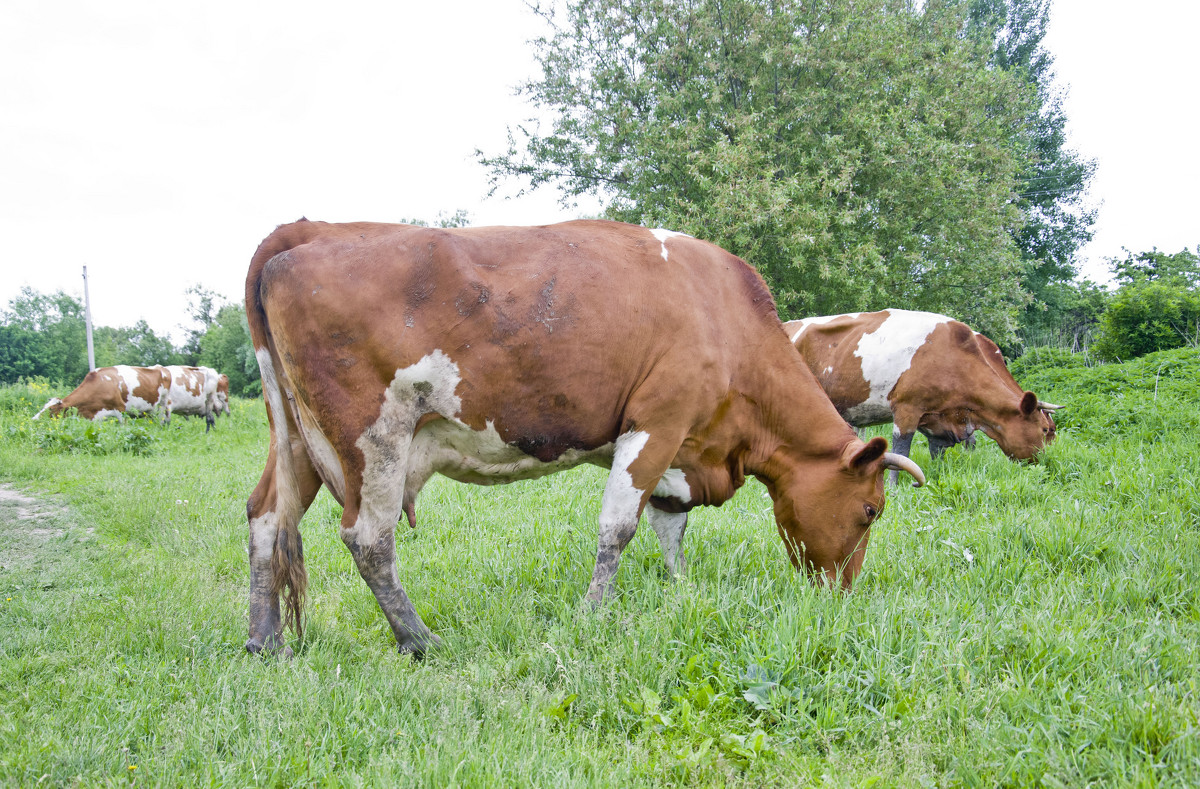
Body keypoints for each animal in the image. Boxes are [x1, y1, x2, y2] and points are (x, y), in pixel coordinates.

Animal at [32, 364, 171, 422]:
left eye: (51, 409)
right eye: (43, 407)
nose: (34, 419)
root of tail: (161, 367)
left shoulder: (121, 410)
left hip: (163, 405)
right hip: (149, 410)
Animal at [238, 218, 921, 652]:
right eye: (870, 510)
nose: (841, 594)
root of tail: (307, 230)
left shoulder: (679, 450)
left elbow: (669, 524)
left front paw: (681, 589)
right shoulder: (657, 422)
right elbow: (619, 527)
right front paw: (595, 614)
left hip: (295, 439)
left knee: (266, 513)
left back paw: (266, 641)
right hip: (374, 437)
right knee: (369, 539)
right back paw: (420, 640)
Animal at [782, 309, 1065, 482]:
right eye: (1045, 430)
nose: (1048, 462)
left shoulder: (939, 420)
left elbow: (940, 451)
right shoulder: (907, 409)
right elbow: (902, 452)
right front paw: (894, 488)